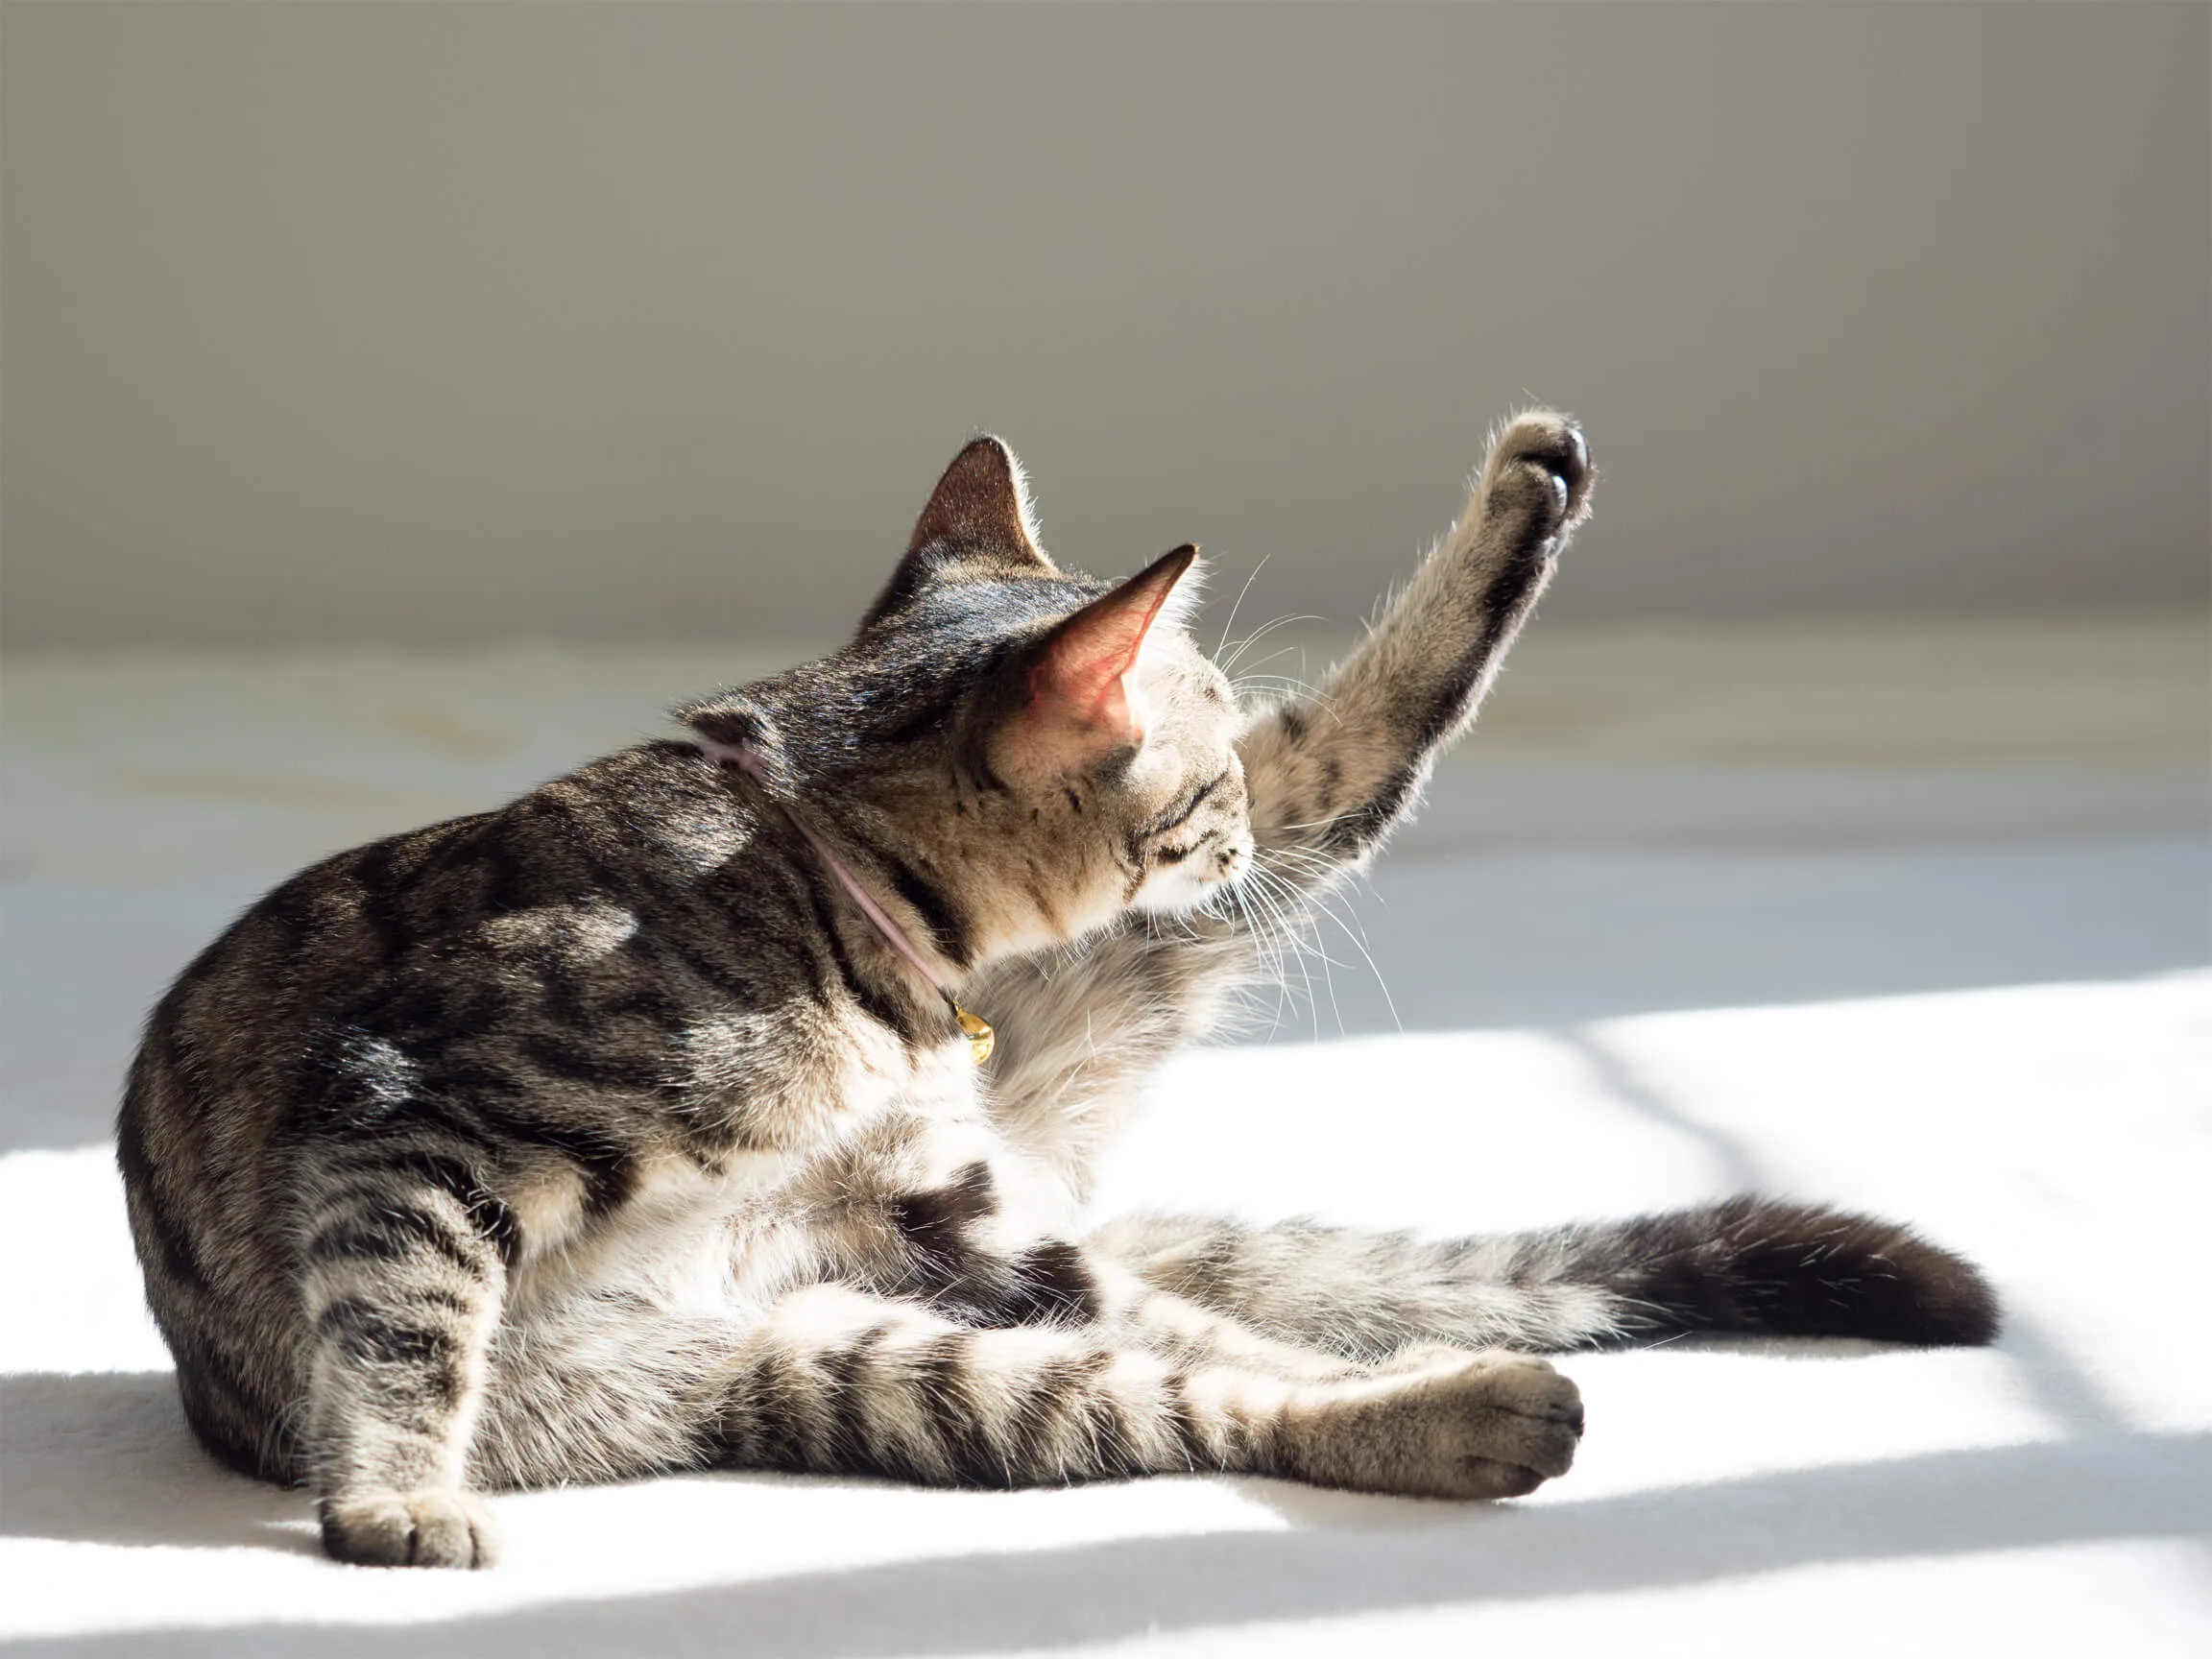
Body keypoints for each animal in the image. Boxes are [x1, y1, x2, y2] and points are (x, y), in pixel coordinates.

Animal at [121, 416, 1999, 1575]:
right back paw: (1475, 1405)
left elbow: (1207, 1327)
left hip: (929, 1315)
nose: (1219, 813)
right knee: (1205, 1382)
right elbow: (402, 1322)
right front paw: (395, 1500)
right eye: (1193, 746)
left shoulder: (948, 1216)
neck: (825, 906)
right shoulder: (407, 1112)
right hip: (870, 1362)